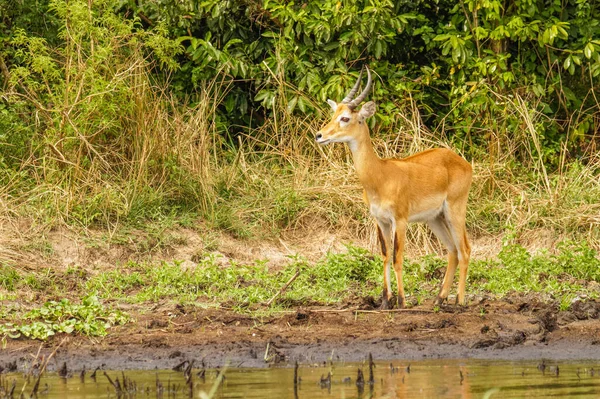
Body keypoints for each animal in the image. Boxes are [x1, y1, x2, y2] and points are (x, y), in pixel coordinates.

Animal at [316, 67, 472, 310]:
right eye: (334, 115)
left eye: (345, 118)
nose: (320, 135)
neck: (380, 176)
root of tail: (463, 162)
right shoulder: (380, 220)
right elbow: (385, 255)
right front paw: (384, 300)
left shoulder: (400, 220)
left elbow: (398, 257)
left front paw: (401, 300)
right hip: (435, 218)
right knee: (453, 251)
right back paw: (439, 299)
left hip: (455, 211)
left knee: (465, 249)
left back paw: (460, 301)